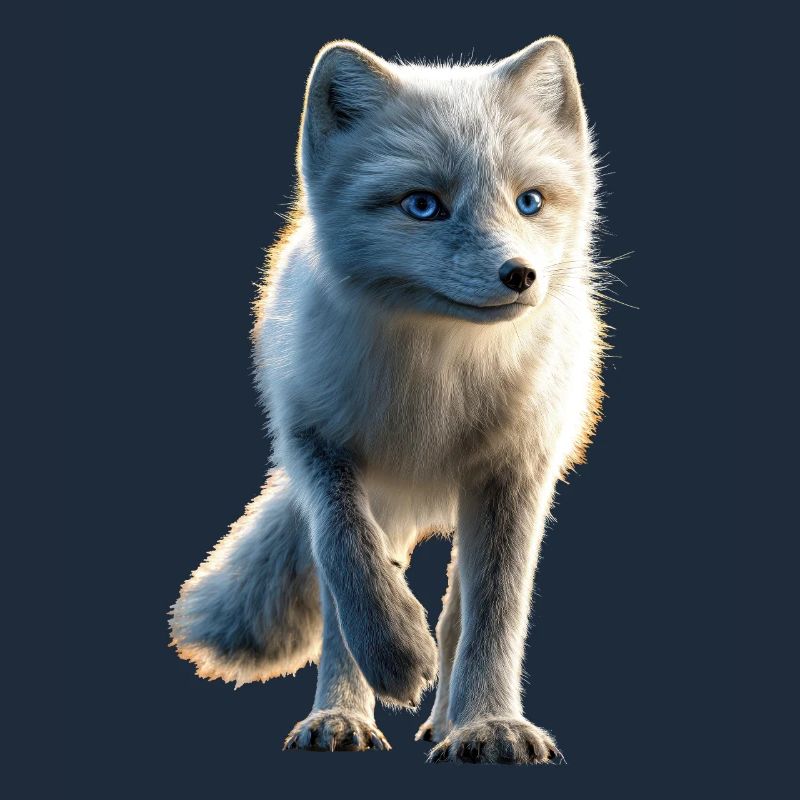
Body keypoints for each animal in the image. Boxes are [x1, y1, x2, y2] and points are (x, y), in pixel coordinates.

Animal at [170, 36, 607, 764]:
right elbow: (348, 563)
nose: (520, 275)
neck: (436, 382)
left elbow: (495, 613)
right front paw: (388, 663)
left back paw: (450, 720)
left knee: (460, 608)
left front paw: (491, 726)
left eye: (529, 202)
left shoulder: (516, 469)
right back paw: (357, 709)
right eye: (423, 206)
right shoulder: (316, 444)